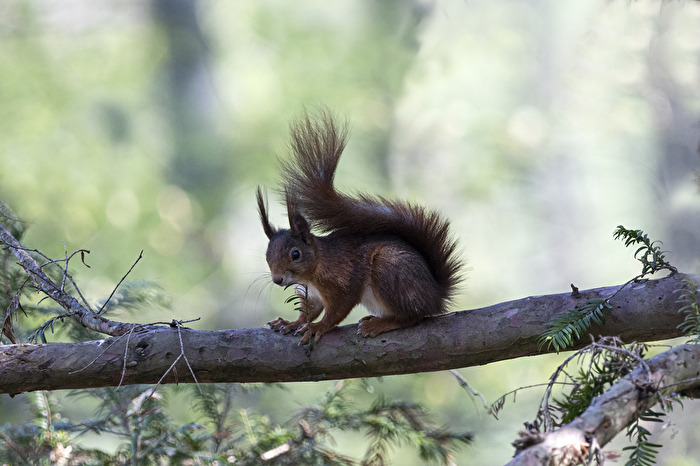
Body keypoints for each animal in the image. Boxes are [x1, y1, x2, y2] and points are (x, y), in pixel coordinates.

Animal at [256, 108, 462, 344]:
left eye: (295, 254)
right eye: (267, 256)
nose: (277, 279)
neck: (314, 270)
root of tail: (435, 295)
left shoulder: (342, 282)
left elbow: (337, 310)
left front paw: (317, 327)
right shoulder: (311, 295)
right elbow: (308, 311)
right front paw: (292, 323)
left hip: (390, 271)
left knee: (412, 316)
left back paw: (379, 324)